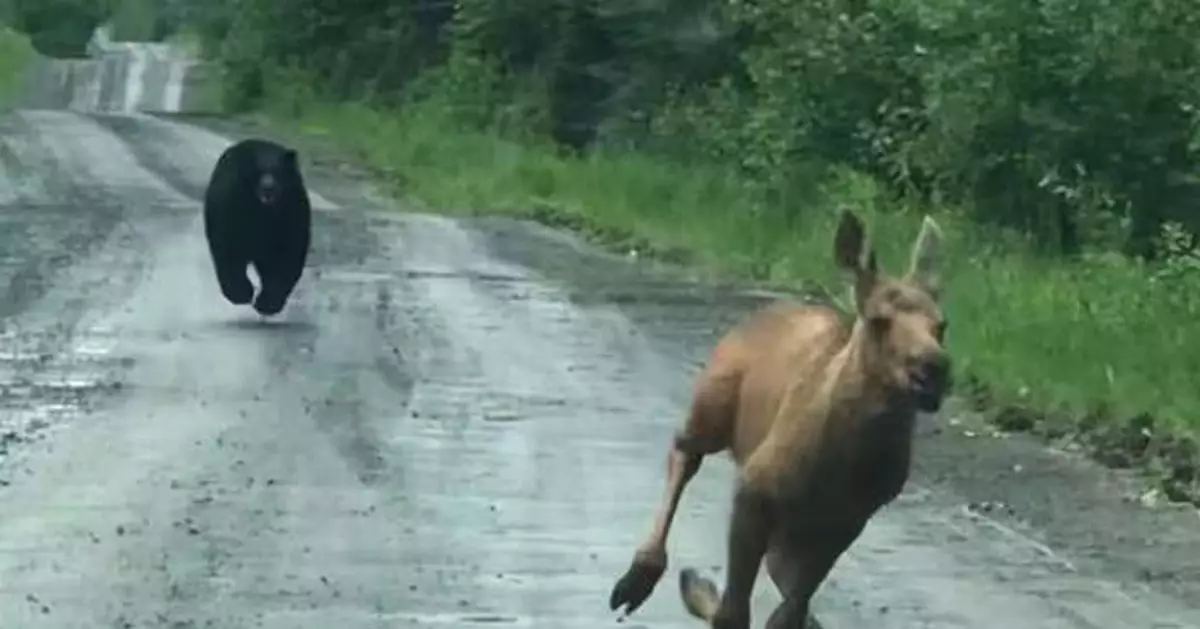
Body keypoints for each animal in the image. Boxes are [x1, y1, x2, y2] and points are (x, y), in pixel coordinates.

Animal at [202, 138, 312, 317]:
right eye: (258, 172)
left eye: (278, 172)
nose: (268, 187)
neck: (263, 212)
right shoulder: (231, 210)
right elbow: (229, 251)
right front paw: (240, 293)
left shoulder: (292, 213)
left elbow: (287, 257)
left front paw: (268, 303)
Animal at [607, 207, 951, 629]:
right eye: (878, 321)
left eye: (942, 325)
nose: (933, 370)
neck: (845, 466)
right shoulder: (754, 491)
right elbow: (735, 611)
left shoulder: (847, 522)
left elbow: (789, 610)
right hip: (713, 405)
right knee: (685, 451)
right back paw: (640, 576)